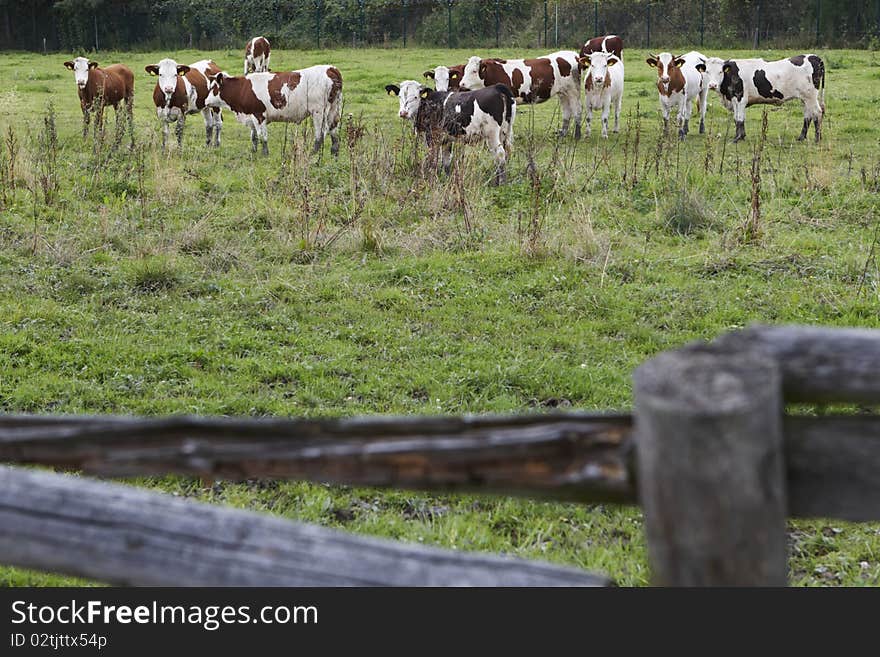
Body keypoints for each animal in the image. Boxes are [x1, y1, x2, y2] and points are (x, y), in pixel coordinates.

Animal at [206, 65, 344, 156]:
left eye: (213, 88)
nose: (205, 101)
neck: (243, 89)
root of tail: (331, 68)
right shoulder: (251, 115)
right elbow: (254, 136)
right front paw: (253, 151)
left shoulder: (258, 115)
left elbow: (262, 136)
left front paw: (265, 153)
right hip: (334, 108)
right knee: (334, 130)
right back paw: (334, 153)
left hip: (319, 111)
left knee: (320, 133)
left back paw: (312, 154)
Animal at [384, 82, 516, 186]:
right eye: (399, 96)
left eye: (416, 97)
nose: (403, 113)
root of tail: (497, 87)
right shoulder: (446, 140)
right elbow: (446, 160)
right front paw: (446, 179)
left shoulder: (432, 138)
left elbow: (432, 159)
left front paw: (430, 178)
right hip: (505, 132)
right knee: (505, 152)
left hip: (491, 135)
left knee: (499, 154)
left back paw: (500, 183)